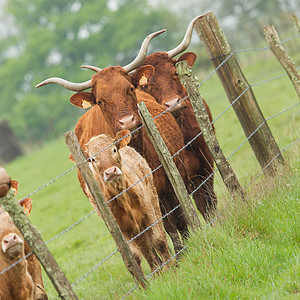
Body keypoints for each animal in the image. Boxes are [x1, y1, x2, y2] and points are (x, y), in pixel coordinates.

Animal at [85, 130, 172, 274]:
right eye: (93, 159)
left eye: (114, 149)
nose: (111, 172)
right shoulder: (121, 228)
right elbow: (136, 256)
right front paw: (149, 279)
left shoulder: (148, 211)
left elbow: (158, 240)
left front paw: (172, 269)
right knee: (146, 249)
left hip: (153, 201)